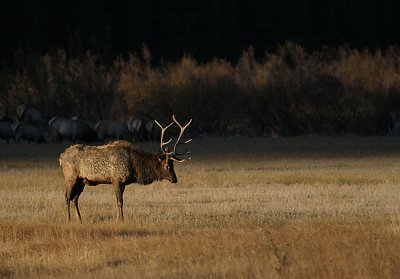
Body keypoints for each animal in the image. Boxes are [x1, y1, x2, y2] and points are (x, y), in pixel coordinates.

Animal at [58, 115, 191, 222]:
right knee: (67, 196)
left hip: (81, 181)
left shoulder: (123, 183)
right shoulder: (116, 179)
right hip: (71, 177)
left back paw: (80, 219)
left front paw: (119, 218)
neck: (134, 167)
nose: (175, 179)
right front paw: (120, 220)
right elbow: (119, 201)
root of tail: (61, 157)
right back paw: (68, 219)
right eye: (167, 166)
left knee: (75, 198)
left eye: (173, 165)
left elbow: (121, 201)